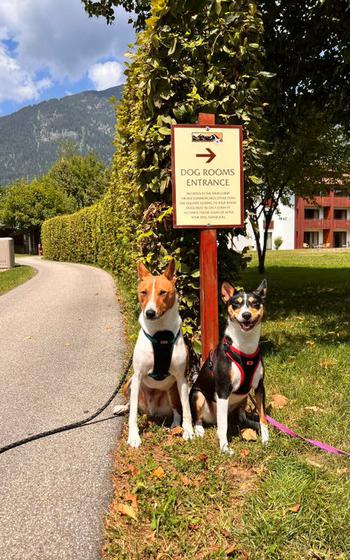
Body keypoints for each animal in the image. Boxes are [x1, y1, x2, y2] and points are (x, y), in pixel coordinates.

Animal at [113, 260, 193, 448]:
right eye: (143, 292)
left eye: (163, 292)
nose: (149, 313)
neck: (160, 334)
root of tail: (151, 410)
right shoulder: (138, 376)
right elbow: (132, 415)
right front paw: (134, 436)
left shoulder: (181, 378)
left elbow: (186, 409)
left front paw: (189, 431)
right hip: (129, 383)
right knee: (131, 406)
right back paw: (123, 408)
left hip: (173, 390)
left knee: (177, 410)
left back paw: (176, 425)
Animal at [191, 280, 268, 456]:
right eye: (236, 304)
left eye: (255, 304)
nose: (246, 315)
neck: (245, 346)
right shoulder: (223, 390)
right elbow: (223, 426)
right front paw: (225, 448)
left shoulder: (260, 387)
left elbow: (263, 416)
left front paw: (266, 439)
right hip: (198, 395)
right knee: (200, 418)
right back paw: (199, 430)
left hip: (244, 396)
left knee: (239, 415)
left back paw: (250, 422)